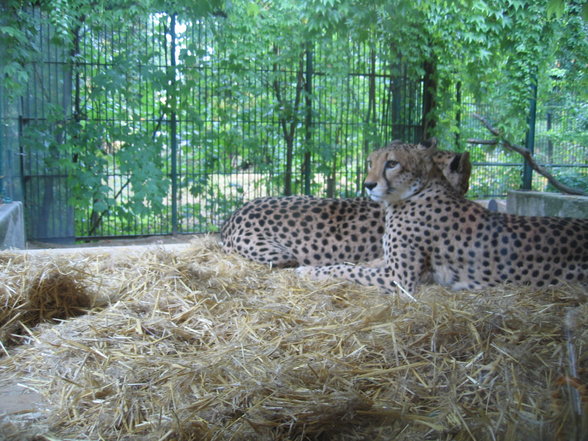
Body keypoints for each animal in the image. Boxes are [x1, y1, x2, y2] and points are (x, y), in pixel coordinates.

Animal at [298, 141, 588, 292]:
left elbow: (346, 269)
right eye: (371, 163)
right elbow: (354, 263)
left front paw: (310, 271)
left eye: (392, 163)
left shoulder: (400, 278)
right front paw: (309, 268)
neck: (417, 191)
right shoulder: (387, 262)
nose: (368, 185)